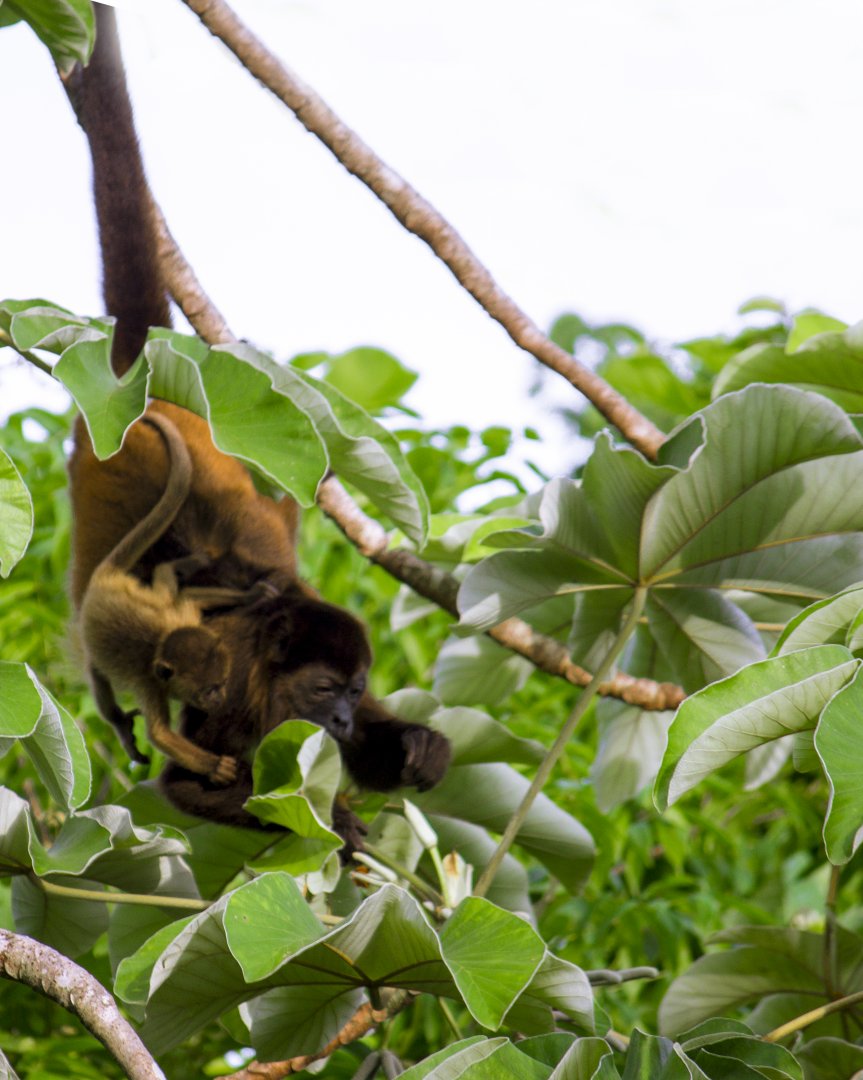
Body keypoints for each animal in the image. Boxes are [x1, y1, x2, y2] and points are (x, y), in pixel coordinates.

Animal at [78, 411, 238, 785]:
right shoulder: (151, 682)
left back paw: (187, 564)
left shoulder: (182, 618)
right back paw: (119, 723)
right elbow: (160, 734)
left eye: (223, 682)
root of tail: (105, 579)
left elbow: (191, 600)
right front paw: (214, 766)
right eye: (208, 691)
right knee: (97, 673)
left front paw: (257, 592)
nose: (222, 699)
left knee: (166, 579)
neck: (163, 643)